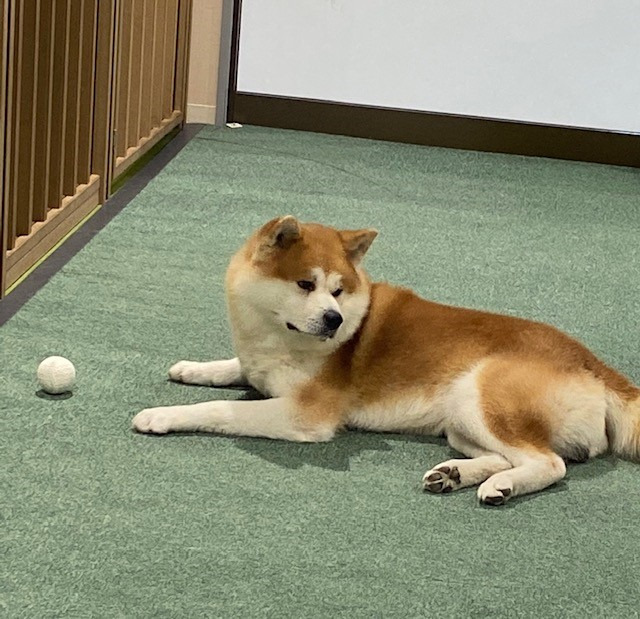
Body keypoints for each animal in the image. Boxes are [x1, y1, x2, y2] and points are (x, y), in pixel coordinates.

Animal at [132, 216, 636, 506]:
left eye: (337, 291)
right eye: (305, 284)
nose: (334, 320)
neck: (277, 336)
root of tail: (595, 364)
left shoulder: (304, 413)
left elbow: (220, 410)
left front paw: (162, 414)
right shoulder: (259, 362)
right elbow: (234, 366)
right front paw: (190, 368)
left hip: (482, 396)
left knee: (550, 463)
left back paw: (501, 487)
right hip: (461, 420)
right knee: (503, 455)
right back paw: (455, 474)